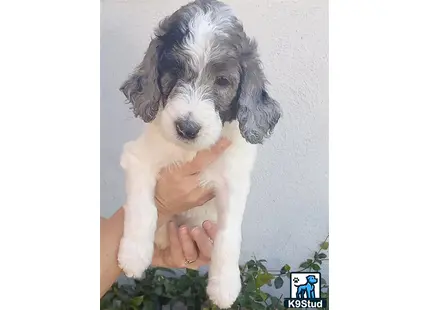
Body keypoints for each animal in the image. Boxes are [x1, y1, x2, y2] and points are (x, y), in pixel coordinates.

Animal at [116, 0, 282, 308]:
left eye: (223, 82)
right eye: (175, 71)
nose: (187, 128)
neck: (191, 153)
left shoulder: (234, 183)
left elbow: (229, 235)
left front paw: (224, 286)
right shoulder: (138, 157)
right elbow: (143, 208)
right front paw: (133, 256)